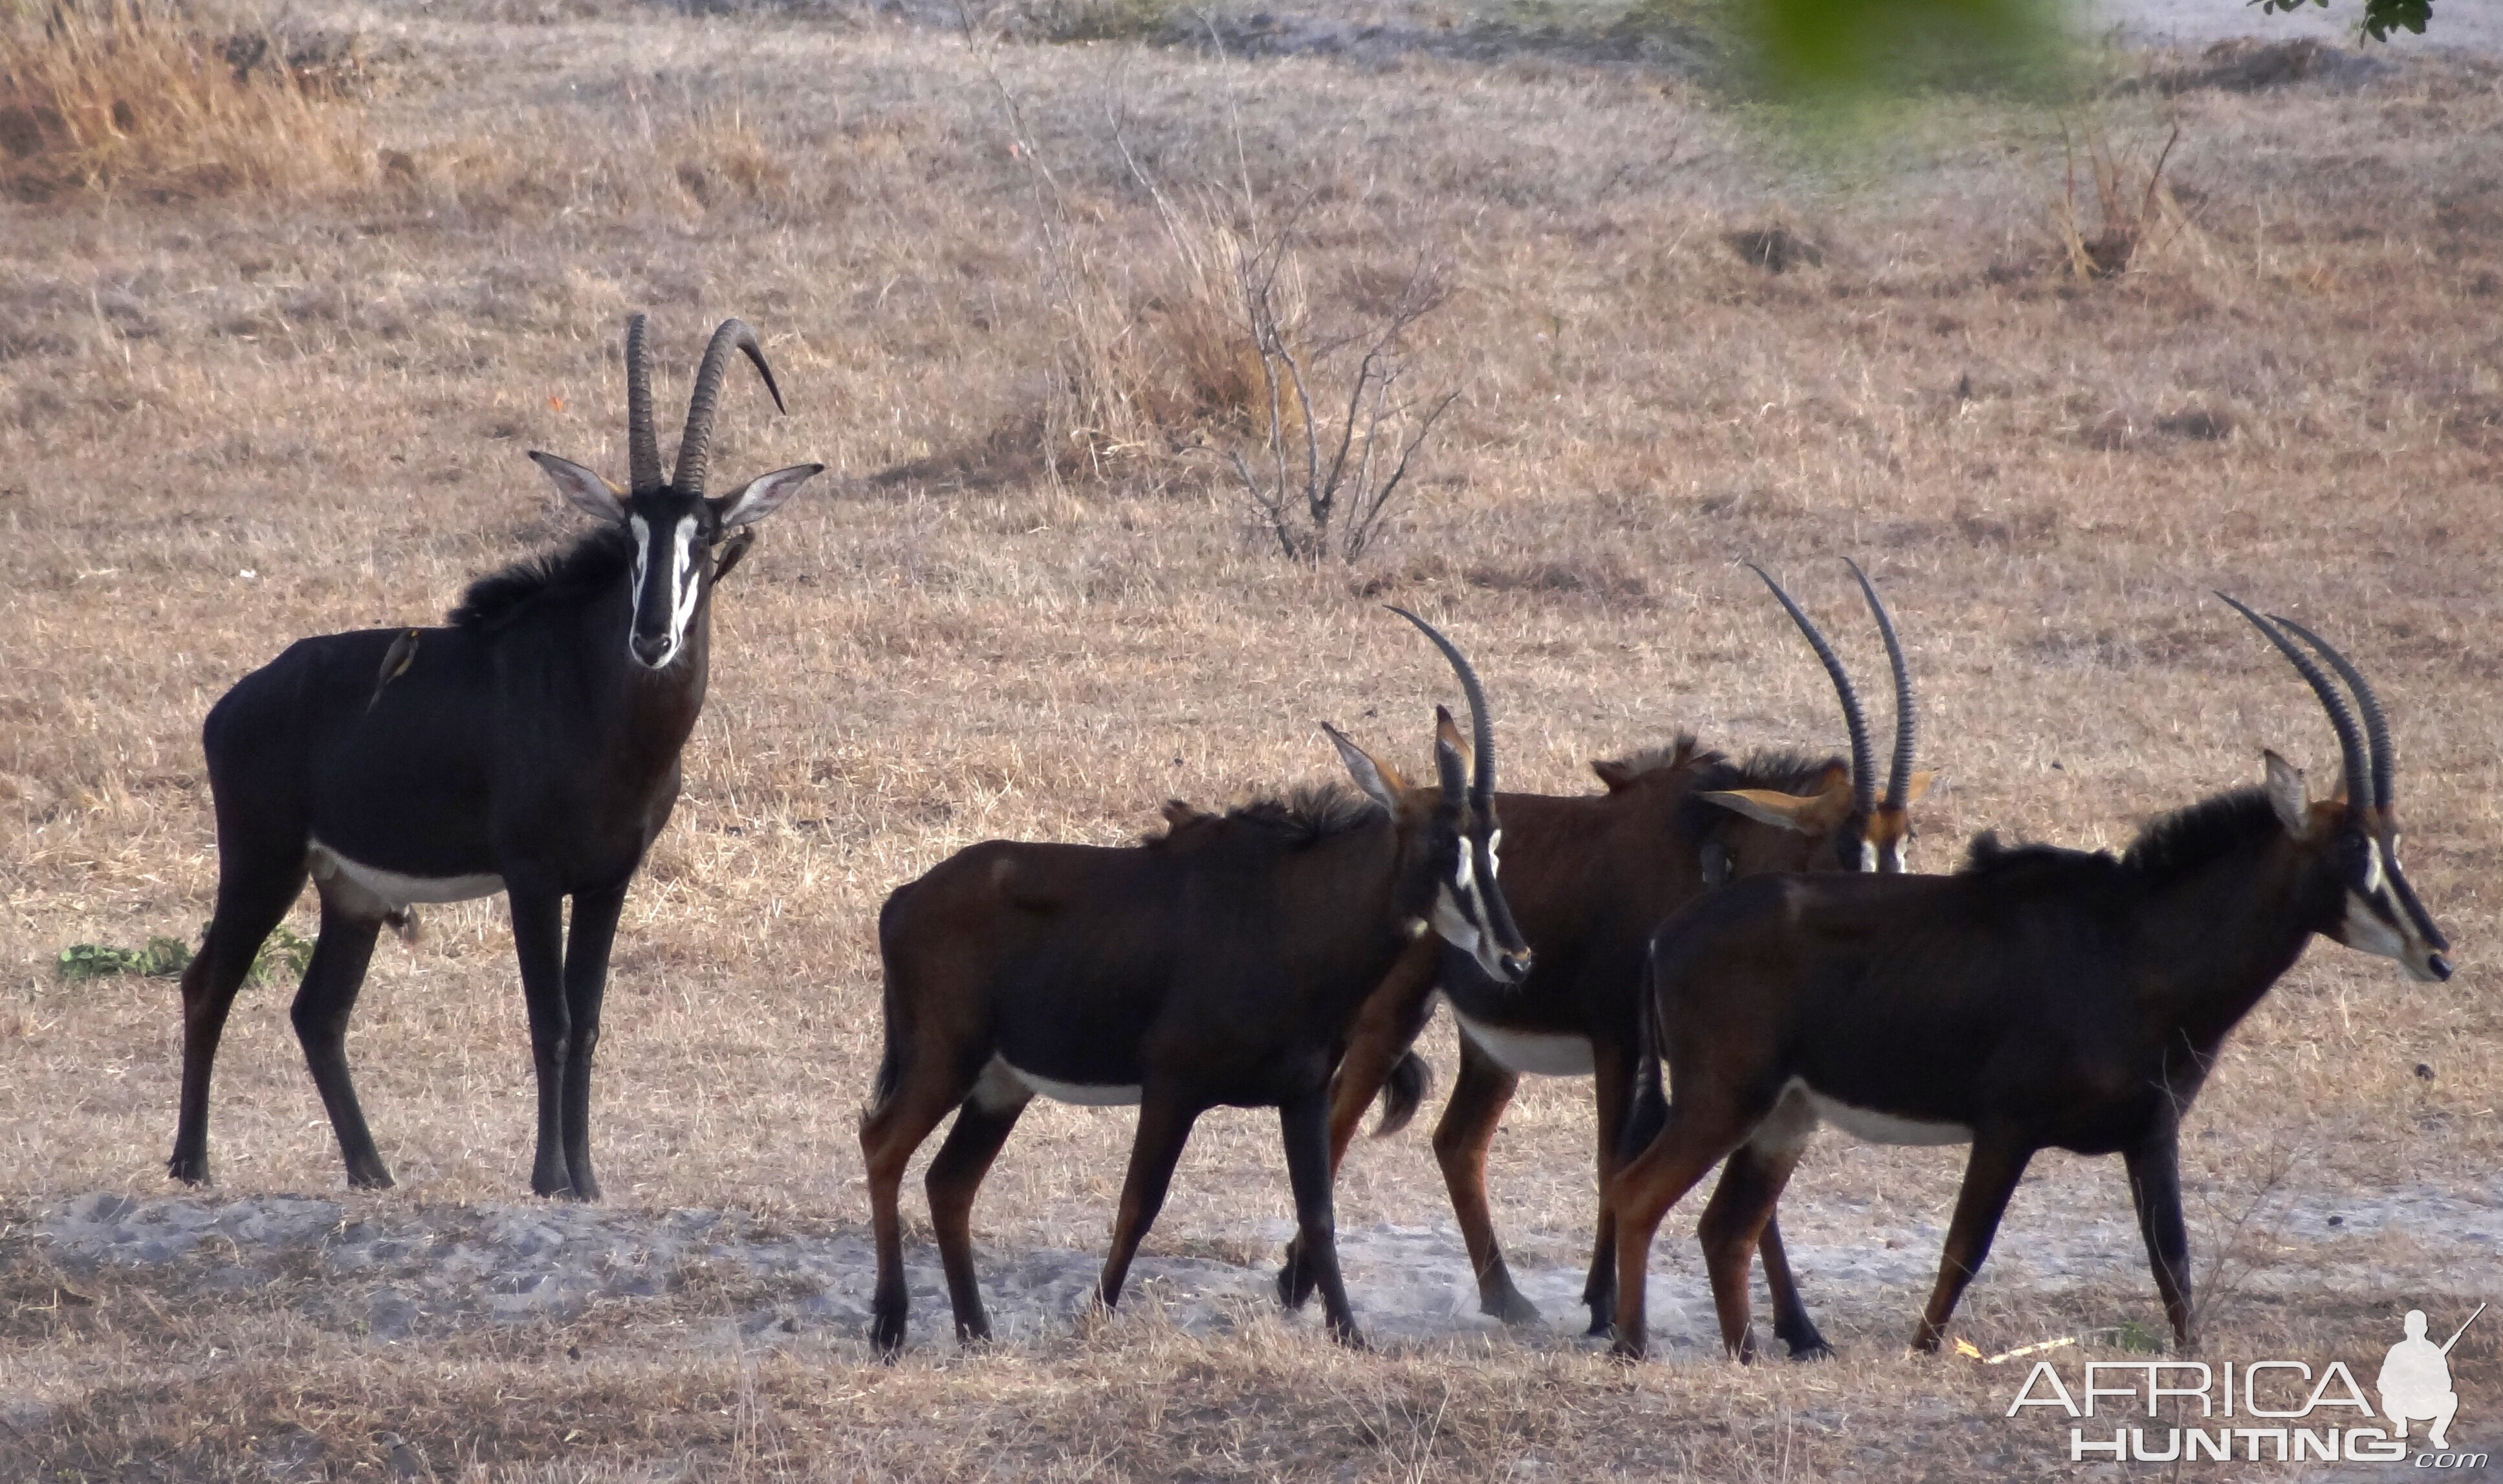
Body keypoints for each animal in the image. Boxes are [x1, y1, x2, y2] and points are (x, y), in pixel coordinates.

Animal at [169, 318, 831, 1196]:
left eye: (708, 534)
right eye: (630, 537)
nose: (652, 636)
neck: (603, 709)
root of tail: (234, 703)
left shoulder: (608, 881)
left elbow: (588, 1022)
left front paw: (587, 1180)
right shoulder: (532, 877)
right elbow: (548, 1019)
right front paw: (550, 1177)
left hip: (351, 890)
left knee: (319, 1011)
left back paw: (371, 1171)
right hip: (262, 860)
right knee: (208, 980)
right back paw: (192, 1163)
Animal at [860, 608, 1522, 1351]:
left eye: (1493, 843)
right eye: (1443, 844)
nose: (1514, 957)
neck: (1287, 914)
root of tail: (904, 897)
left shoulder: (1302, 1093)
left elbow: (1318, 1214)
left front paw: (1350, 1334)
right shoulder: (1172, 1088)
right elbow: (1138, 1203)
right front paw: (1096, 1315)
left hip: (1000, 1084)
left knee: (949, 1182)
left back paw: (975, 1330)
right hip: (944, 1059)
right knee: (881, 1146)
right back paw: (889, 1325)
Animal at [1281, 558, 1922, 1341]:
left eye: (1904, 842)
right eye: (1845, 849)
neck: (1706, 856)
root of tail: (1390, 818)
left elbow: (1748, 1188)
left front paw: (1800, 1330)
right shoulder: (1621, 1040)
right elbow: (1613, 1160)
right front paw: (1603, 1305)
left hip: (1491, 1045)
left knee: (1457, 1142)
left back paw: (1505, 1297)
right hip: (1392, 1015)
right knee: (1341, 1118)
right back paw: (1296, 1283)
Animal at [1602, 595, 2443, 1361]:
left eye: (2394, 842)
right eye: (2350, 851)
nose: (2435, 953)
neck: (2132, 946)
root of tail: (1667, 933)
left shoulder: (2152, 1134)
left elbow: (2172, 1267)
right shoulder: (2006, 1128)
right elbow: (1960, 1255)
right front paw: (1922, 1356)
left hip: (1783, 1115)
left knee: (1725, 1227)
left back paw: (1744, 1353)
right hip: (1724, 1098)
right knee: (1638, 1194)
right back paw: (1632, 1345)